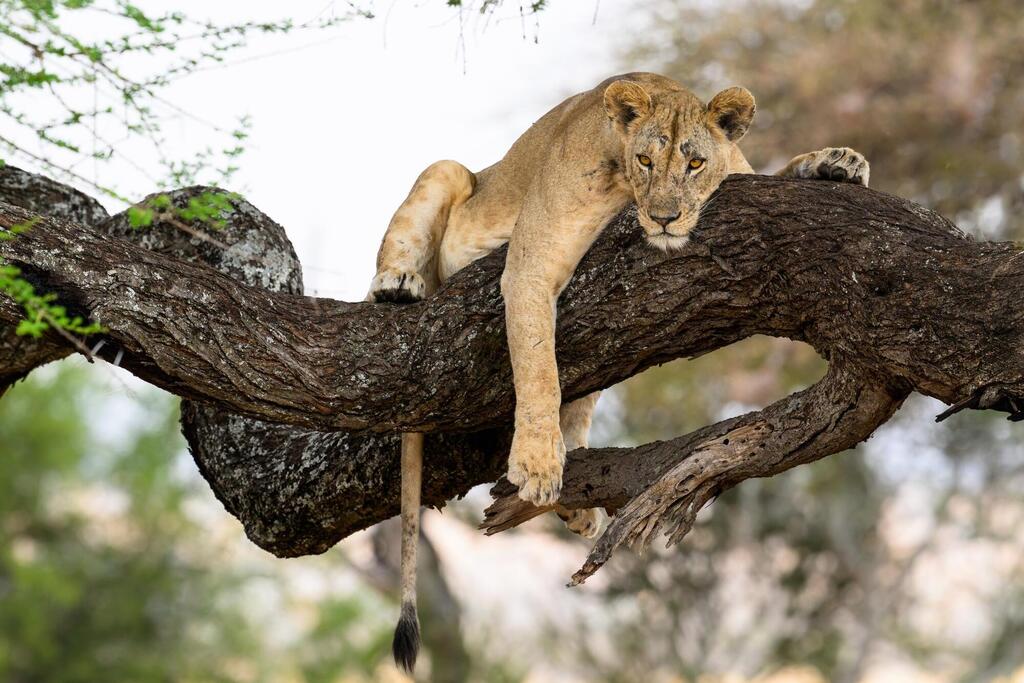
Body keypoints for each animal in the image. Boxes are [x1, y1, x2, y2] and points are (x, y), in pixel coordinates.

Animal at [367, 72, 869, 672]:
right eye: (646, 160)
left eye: (694, 164)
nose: (665, 218)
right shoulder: (529, 266)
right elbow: (538, 367)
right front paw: (537, 463)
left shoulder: (742, 176)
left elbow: (779, 170)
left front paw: (837, 161)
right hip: (448, 174)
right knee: (403, 239)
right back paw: (398, 284)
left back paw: (579, 501)